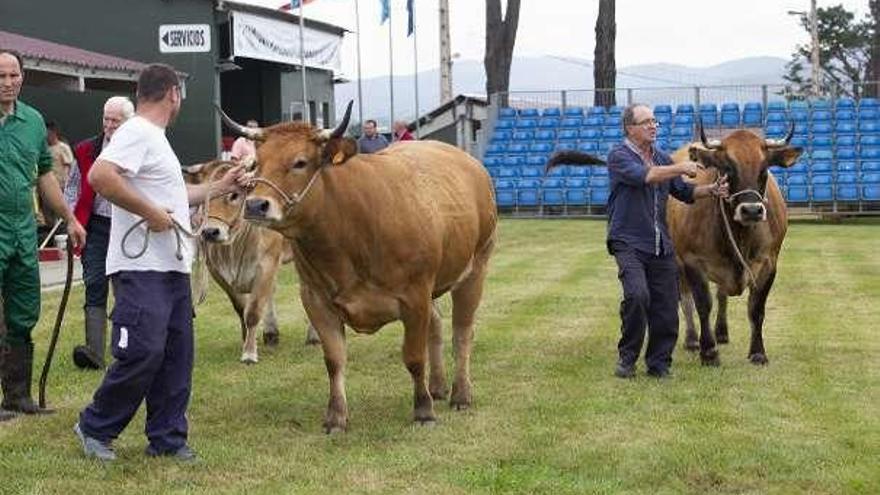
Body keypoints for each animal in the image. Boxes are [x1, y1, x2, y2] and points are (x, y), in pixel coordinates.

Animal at [184, 162, 318, 364]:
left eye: (234, 195)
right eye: (204, 198)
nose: (210, 232)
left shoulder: (267, 264)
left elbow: (253, 312)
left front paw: (249, 353)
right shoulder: (217, 272)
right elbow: (241, 308)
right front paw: (246, 338)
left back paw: (313, 336)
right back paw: (271, 333)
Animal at [217, 102, 498, 432]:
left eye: (300, 162)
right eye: (257, 163)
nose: (255, 205)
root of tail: (469, 163)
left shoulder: (414, 296)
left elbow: (414, 357)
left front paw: (423, 410)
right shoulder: (316, 299)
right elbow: (334, 360)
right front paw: (336, 416)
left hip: (476, 267)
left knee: (462, 332)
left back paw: (460, 393)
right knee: (438, 325)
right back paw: (438, 386)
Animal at [668, 122, 804, 366]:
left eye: (764, 169)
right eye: (727, 168)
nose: (751, 210)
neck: (739, 234)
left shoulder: (769, 263)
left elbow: (756, 308)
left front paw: (758, 352)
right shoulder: (692, 260)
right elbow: (702, 304)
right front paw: (709, 352)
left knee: (722, 294)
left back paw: (721, 332)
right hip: (677, 261)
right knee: (685, 299)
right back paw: (692, 339)